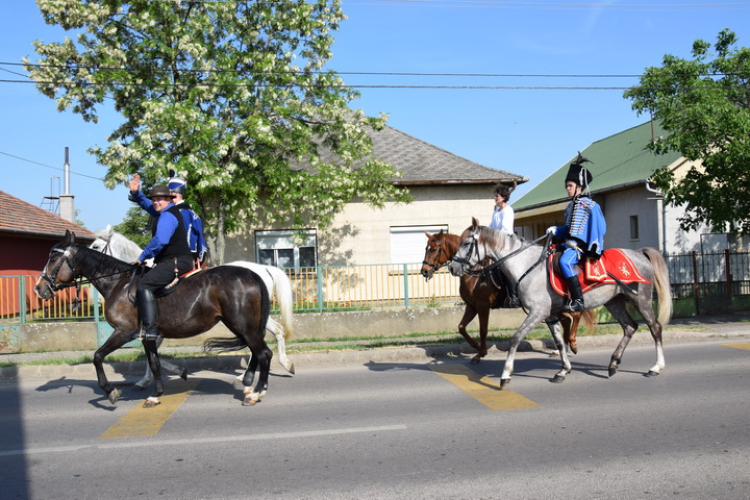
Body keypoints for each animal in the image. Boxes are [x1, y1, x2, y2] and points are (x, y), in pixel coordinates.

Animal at [33, 230, 274, 406]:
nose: (39, 288)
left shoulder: (124, 331)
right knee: (257, 351)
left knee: (264, 353)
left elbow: (98, 356)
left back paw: (257, 392)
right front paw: (158, 389)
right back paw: (248, 384)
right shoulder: (148, 335)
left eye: (53, 257)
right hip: (245, 326)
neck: (119, 283)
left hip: (242, 325)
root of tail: (253, 273)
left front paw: (111, 391)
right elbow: (154, 361)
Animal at [424, 230, 592, 364]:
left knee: (575, 314)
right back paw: (563, 348)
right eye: (426, 248)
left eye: (434, 249)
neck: (475, 274)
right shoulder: (471, 306)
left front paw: (481, 353)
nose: (424, 270)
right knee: (566, 319)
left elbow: (483, 330)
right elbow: (461, 328)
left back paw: (572, 343)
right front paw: (477, 348)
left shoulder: (482, 306)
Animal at [450, 218, 672, 386]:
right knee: (630, 327)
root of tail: (639, 253)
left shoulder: (537, 312)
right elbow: (558, 341)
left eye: (467, 243)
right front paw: (563, 370)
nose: (452, 267)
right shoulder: (549, 315)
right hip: (614, 302)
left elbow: (515, 339)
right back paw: (613, 364)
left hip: (641, 299)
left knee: (654, 327)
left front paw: (505, 375)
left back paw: (656, 367)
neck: (527, 266)